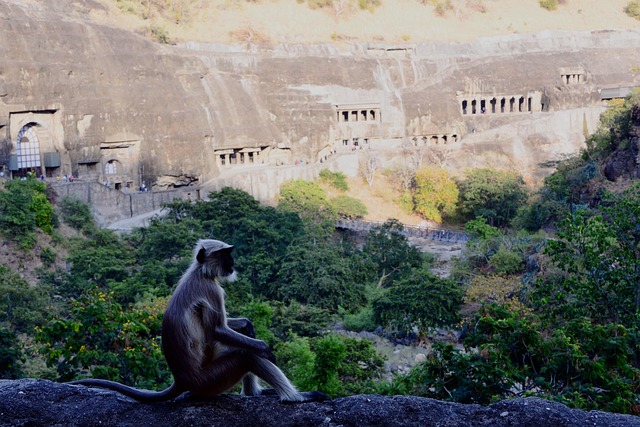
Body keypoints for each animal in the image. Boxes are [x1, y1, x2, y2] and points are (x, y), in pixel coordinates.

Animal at [71, 239, 329, 404]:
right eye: (225, 254)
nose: (233, 263)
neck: (201, 271)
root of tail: (181, 379)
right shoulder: (212, 289)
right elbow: (217, 330)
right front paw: (265, 348)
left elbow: (233, 328)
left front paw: (247, 324)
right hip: (210, 381)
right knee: (247, 356)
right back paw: (295, 398)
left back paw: (255, 394)